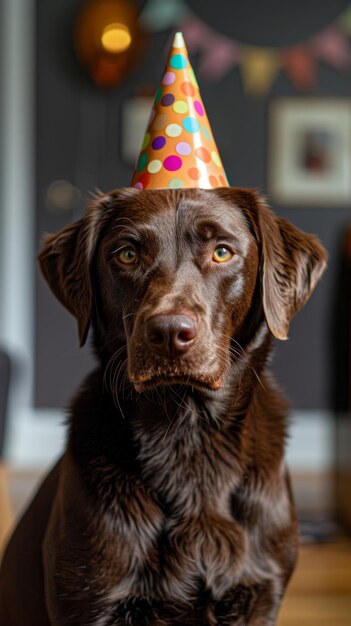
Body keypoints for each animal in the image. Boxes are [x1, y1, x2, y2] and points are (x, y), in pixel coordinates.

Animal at [0, 188, 328, 620]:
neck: (189, 436)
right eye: (126, 254)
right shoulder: (92, 603)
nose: (170, 332)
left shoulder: (260, 595)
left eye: (222, 252)